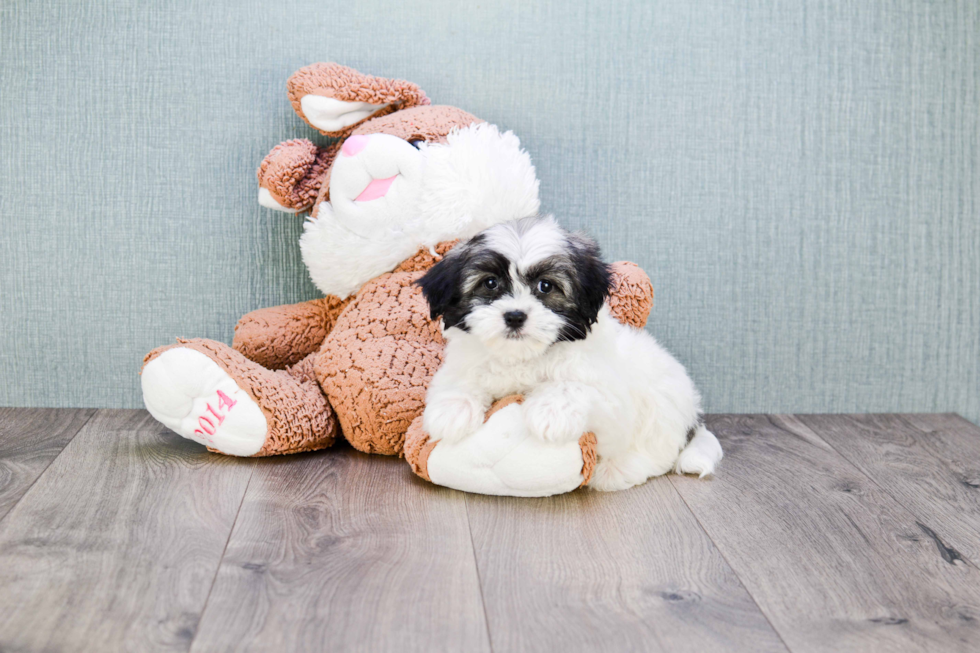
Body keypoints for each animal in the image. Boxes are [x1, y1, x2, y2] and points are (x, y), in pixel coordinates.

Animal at [414, 216, 720, 492]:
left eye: (546, 286)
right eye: (490, 283)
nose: (515, 316)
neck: (523, 357)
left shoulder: (609, 398)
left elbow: (572, 386)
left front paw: (550, 413)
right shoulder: (464, 362)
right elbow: (459, 380)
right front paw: (452, 411)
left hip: (661, 404)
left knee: (656, 452)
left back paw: (616, 470)